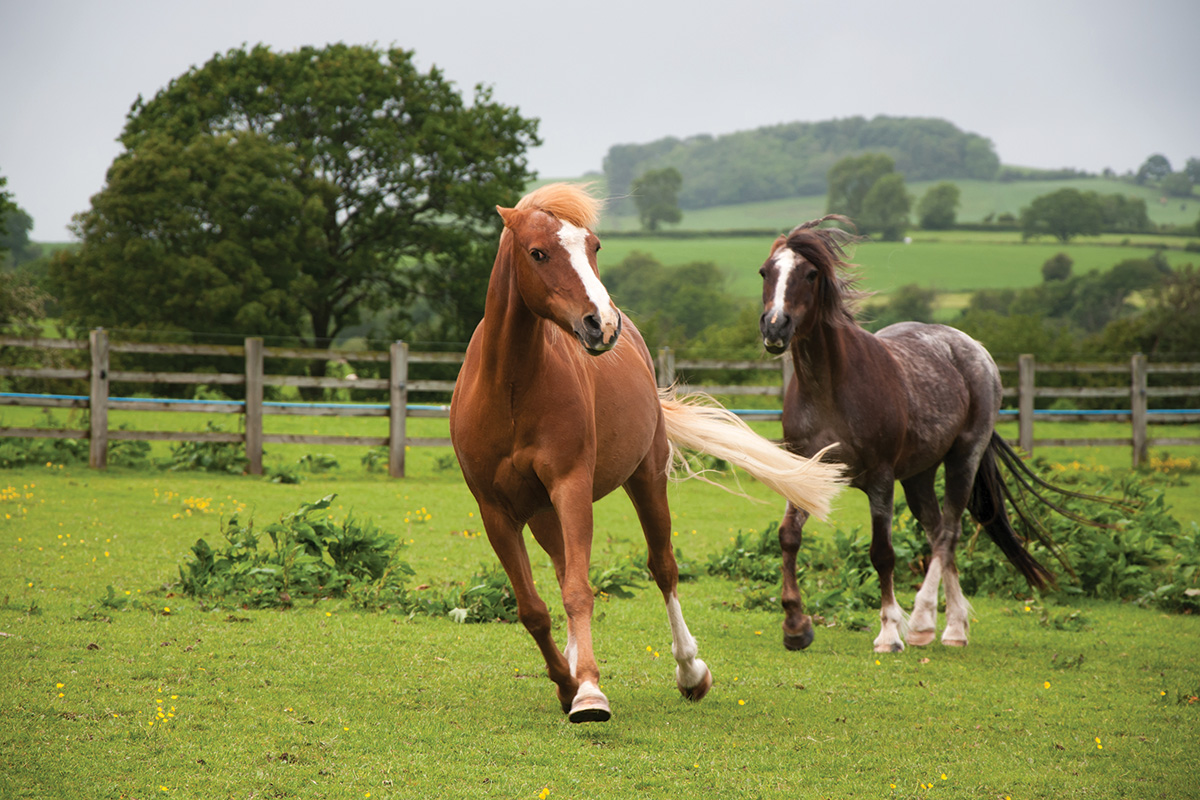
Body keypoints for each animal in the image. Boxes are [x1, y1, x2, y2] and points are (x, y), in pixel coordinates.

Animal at [451, 184, 844, 724]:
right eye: (538, 253)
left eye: (594, 246)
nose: (601, 323)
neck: (509, 389)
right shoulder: (495, 511)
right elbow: (533, 607)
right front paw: (567, 682)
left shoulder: (571, 486)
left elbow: (579, 592)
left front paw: (589, 692)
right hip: (544, 512)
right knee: (564, 568)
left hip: (645, 480)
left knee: (663, 569)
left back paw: (690, 673)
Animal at [758, 215, 1070, 652]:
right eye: (765, 271)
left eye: (811, 273)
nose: (775, 326)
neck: (829, 388)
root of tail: (973, 348)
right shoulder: (805, 470)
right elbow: (788, 536)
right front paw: (795, 626)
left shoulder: (881, 478)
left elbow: (882, 553)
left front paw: (890, 632)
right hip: (919, 475)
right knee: (939, 530)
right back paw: (954, 627)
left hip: (963, 459)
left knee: (949, 532)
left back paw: (926, 622)